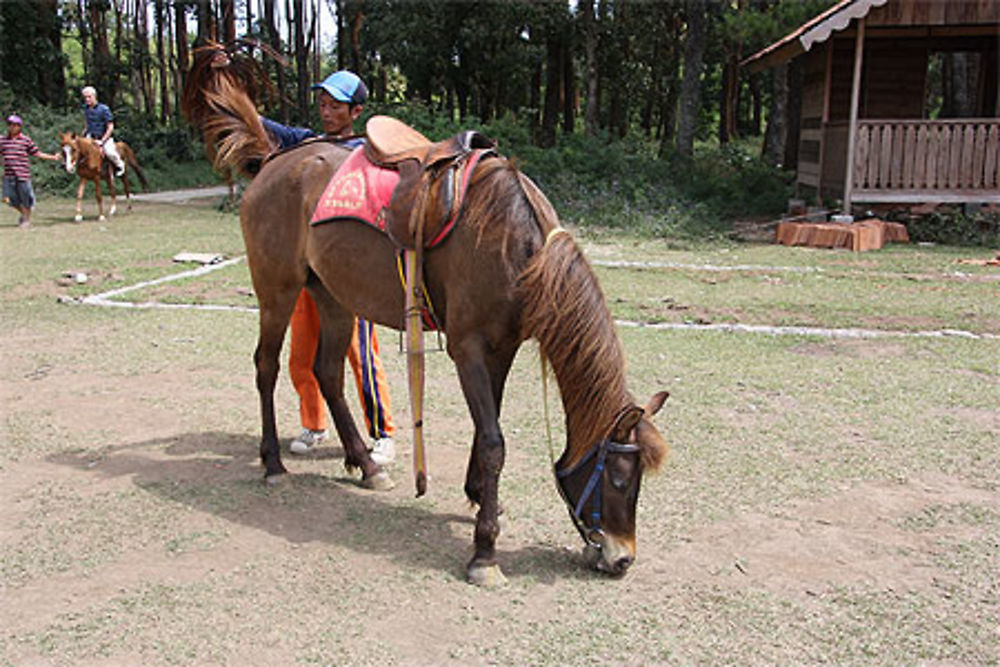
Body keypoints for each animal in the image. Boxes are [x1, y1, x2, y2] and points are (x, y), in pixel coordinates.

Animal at [186, 43, 672, 584]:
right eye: (619, 478)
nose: (622, 557)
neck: (515, 247)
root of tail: (275, 157)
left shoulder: (502, 348)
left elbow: (488, 430)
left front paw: (480, 499)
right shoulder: (469, 348)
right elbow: (494, 441)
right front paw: (485, 550)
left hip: (333, 297)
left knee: (328, 372)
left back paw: (366, 464)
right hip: (278, 291)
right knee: (267, 367)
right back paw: (273, 464)